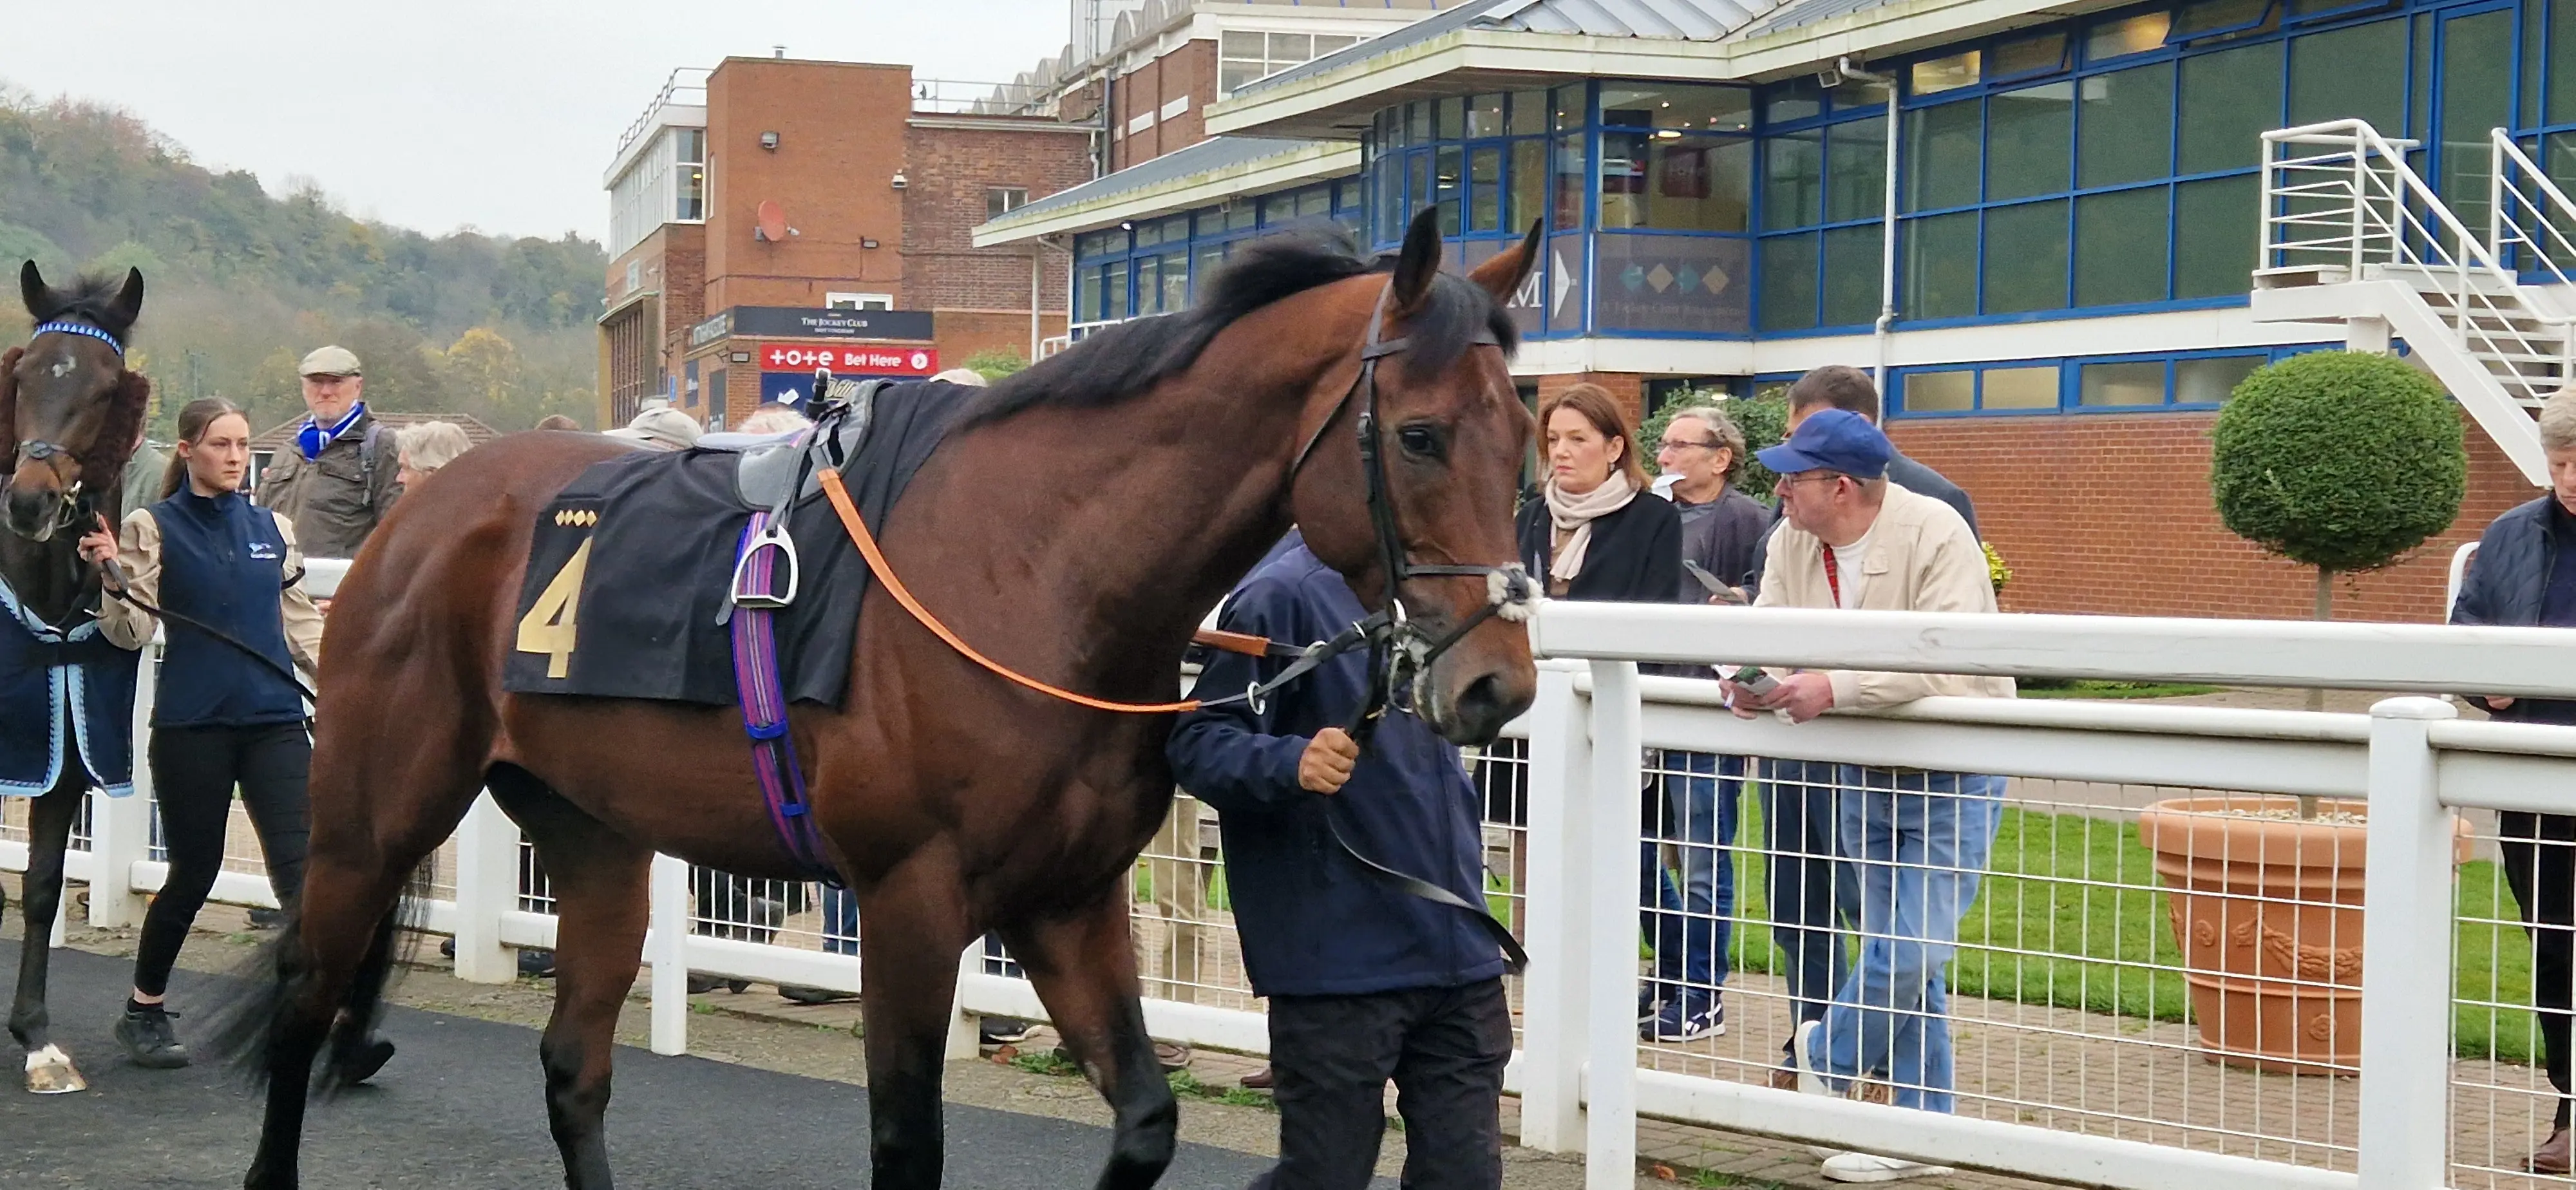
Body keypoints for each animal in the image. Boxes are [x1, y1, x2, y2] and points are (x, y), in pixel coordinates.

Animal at [211, 209, 1535, 1185]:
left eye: (1521, 436)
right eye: (1419, 435)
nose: (1496, 684)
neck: (1032, 567)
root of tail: (421, 512)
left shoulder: (1065, 900)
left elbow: (1149, 1117)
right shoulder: (910, 899)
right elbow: (909, 1142)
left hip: (593, 837)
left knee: (572, 1062)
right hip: (373, 816)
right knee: (302, 1006)